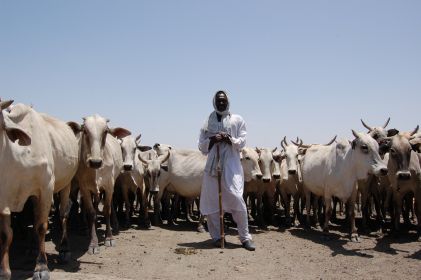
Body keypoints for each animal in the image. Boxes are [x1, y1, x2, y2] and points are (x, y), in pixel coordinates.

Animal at [0, 101, 79, 280]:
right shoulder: (4, 197)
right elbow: (6, 234)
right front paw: (4, 271)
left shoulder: (46, 189)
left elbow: (42, 226)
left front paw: (41, 266)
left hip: (66, 184)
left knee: (63, 214)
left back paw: (64, 249)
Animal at [68, 115, 130, 255]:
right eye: (85, 131)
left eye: (105, 131)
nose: (95, 162)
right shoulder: (84, 188)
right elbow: (90, 212)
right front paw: (93, 243)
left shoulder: (109, 186)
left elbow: (107, 209)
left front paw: (109, 238)